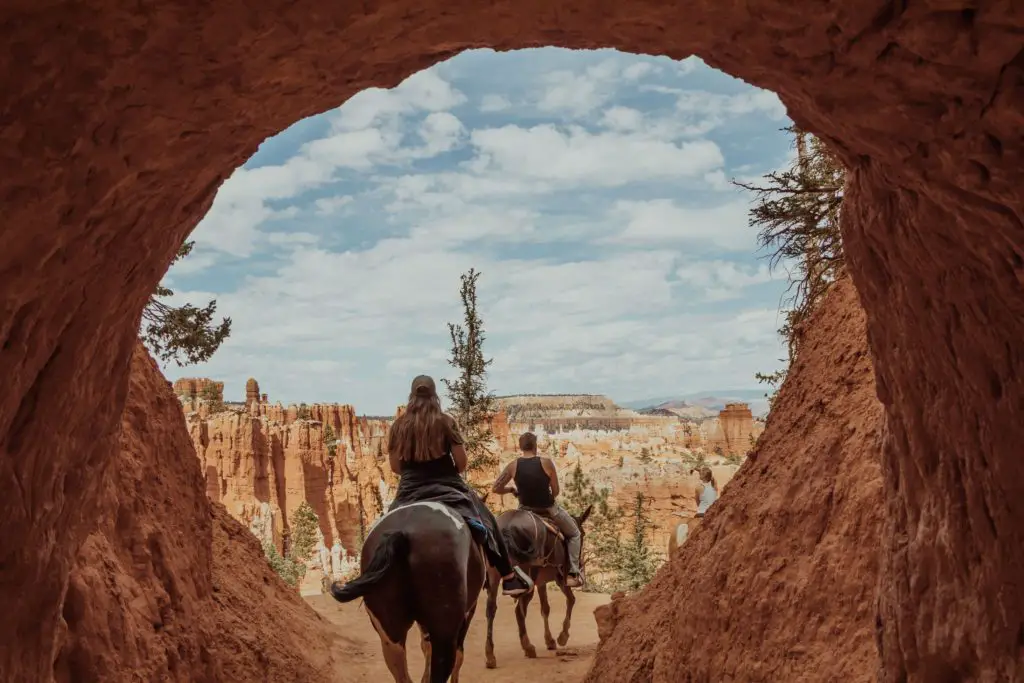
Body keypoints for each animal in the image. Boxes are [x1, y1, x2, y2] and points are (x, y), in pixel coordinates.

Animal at [329, 501, 485, 683]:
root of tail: (401, 533)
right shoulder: (468, 612)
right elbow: (457, 656)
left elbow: (426, 646)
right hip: (445, 629)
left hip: (389, 632)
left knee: (402, 672)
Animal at [485, 505, 598, 671]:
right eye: (582, 534)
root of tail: (508, 524)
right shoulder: (560, 577)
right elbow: (571, 600)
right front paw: (562, 636)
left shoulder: (541, 582)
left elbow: (545, 608)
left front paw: (549, 640)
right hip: (528, 575)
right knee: (519, 611)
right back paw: (528, 647)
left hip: (495, 576)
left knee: (491, 609)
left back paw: (490, 655)